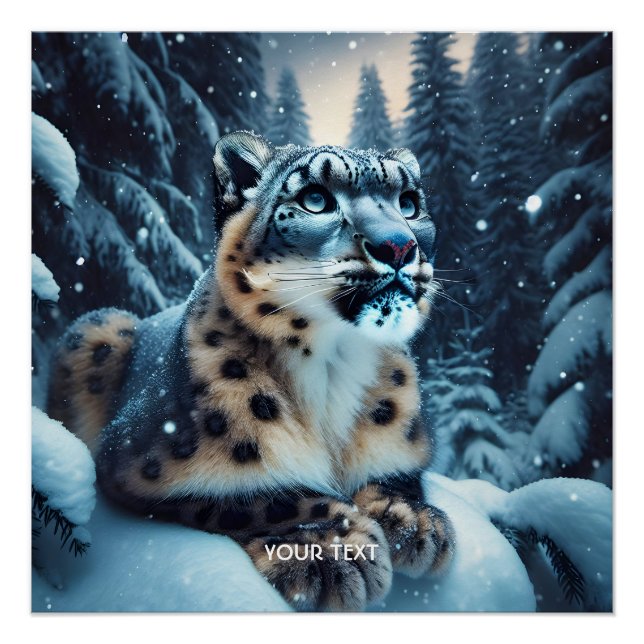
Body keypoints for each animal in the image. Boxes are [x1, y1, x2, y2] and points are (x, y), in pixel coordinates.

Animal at [47, 130, 455, 611]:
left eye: (408, 202)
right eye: (315, 198)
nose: (399, 246)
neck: (332, 368)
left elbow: (398, 472)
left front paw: (411, 519)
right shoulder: (133, 458)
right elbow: (256, 495)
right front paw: (329, 546)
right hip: (100, 325)